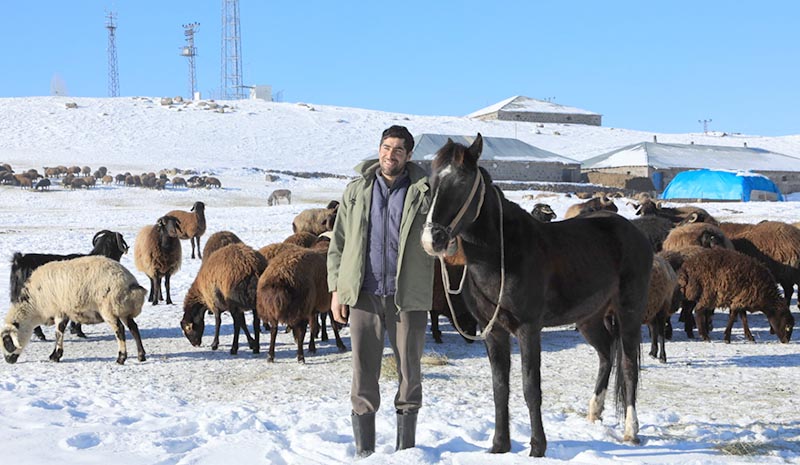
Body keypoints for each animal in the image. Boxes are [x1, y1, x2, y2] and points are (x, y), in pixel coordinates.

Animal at [0, 256, 148, 364]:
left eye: (7, 341)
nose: (8, 360)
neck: (34, 305)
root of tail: (131, 283)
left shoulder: (59, 312)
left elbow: (58, 333)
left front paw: (56, 356)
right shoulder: (65, 313)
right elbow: (59, 333)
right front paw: (53, 354)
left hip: (109, 309)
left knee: (120, 330)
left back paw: (121, 358)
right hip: (123, 310)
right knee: (134, 328)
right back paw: (141, 356)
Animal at [422, 135, 652, 456]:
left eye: (464, 180)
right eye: (431, 183)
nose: (433, 240)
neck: (503, 254)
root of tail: (634, 233)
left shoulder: (528, 329)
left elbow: (531, 388)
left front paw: (537, 447)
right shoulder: (493, 332)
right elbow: (500, 388)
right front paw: (499, 445)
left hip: (629, 314)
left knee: (629, 366)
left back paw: (631, 430)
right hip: (589, 319)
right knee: (607, 354)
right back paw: (594, 411)